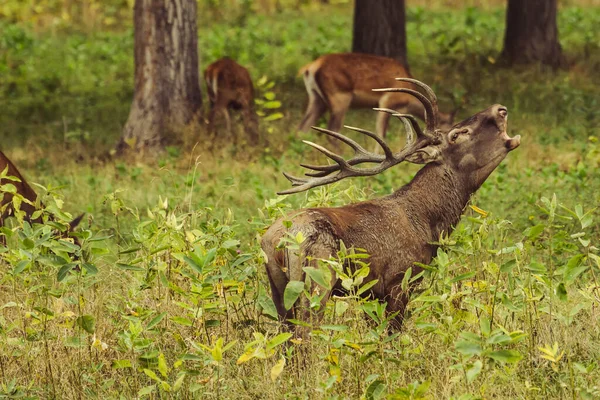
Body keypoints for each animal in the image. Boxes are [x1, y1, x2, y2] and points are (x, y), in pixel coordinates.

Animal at [262, 78, 520, 332]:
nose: (500, 109)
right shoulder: (400, 279)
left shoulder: (369, 293)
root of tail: (280, 238)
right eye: (457, 134)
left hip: (278, 285)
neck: (428, 223)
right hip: (318, 276)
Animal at [298, 52, 458, 141]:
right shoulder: (387, 101)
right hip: (340, 97)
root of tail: (310, 68)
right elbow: (381, 133)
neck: (408, 101)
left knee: (303, 127)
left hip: (317, 99)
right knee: (332, 130)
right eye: (449, 126)